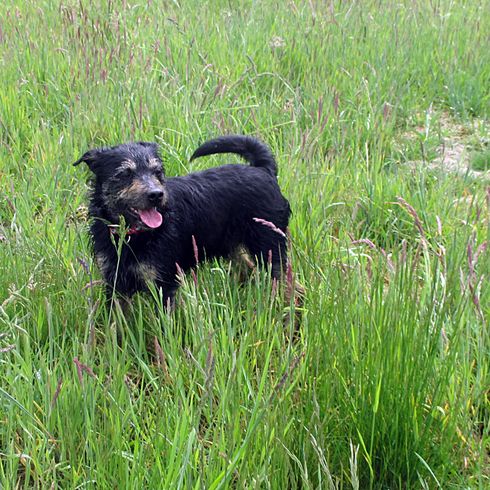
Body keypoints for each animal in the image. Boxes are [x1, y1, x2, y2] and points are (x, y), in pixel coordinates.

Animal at [75, 136, 290, 308]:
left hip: (270, 250)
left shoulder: (164, 286)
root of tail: (263, 170)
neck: (131, 236)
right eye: (124, 174)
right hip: (236, 249)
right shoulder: (115, 286)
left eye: (157, 172)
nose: (156, 194)